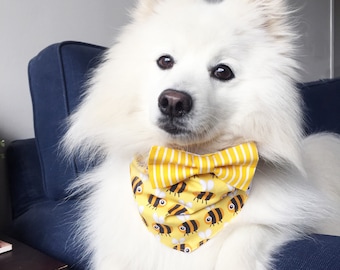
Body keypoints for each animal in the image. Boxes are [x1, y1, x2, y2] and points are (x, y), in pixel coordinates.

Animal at [63, 0, 340, 270]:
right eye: (165, 61)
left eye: (222, 71)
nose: (173, 101)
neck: (189, 167)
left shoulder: (284, 222)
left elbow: (245, 239)